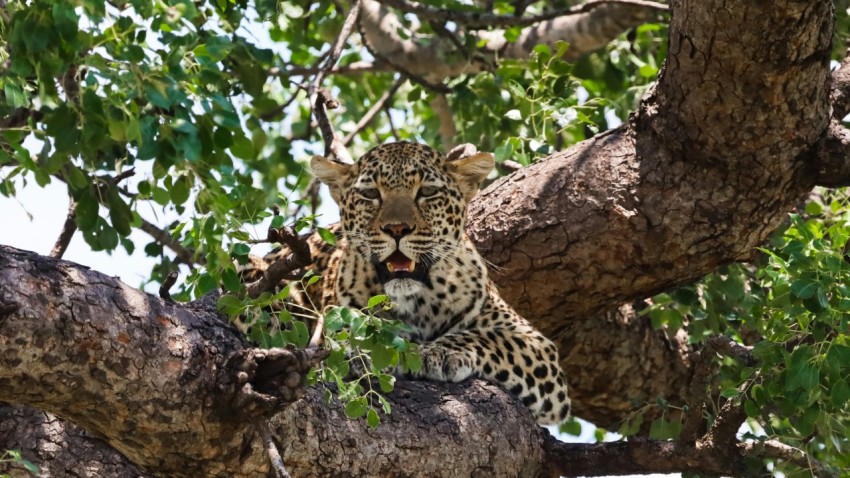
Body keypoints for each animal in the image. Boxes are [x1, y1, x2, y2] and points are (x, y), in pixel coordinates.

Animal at [312, 140, 568, 424]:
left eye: (428, 191)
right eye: (370, 194)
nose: (397, 229)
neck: (413, 302)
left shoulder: (537, 345)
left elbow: (492, 338)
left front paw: (438, 353)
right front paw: (359, 352)